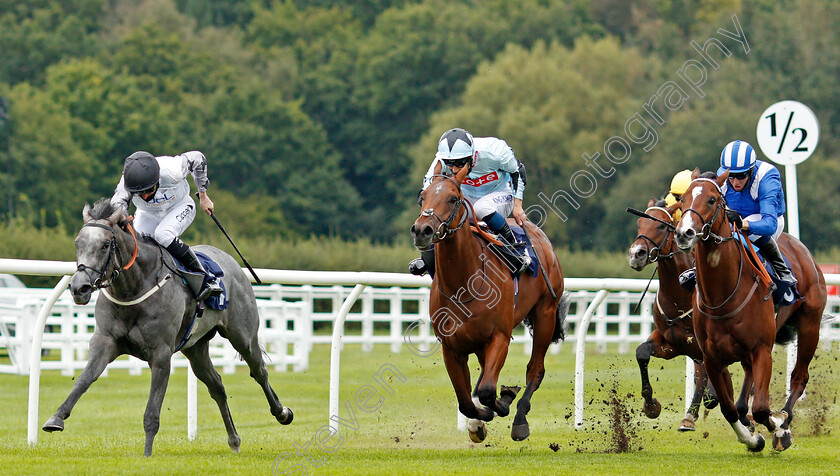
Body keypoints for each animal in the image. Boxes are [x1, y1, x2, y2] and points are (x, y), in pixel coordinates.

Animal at [42, 198, 294, 458]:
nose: (79, 288)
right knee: (216, 385)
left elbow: (152, 410)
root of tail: (231, 262)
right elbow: (84, 379)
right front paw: (56, 418)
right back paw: (234, 440)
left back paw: (282, 412)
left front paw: (147, 453)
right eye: (77, 243)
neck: (134, 288)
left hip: (242, 335)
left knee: (259, 371)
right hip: (195, 347)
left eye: (104, 245)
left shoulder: (161, 354)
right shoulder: (105, 342)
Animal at [408, 168, 568, 442]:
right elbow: (467, 400)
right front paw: (478, 422)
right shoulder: (452, 348)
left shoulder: (499, 337)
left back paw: (520, 419)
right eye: (423, 196)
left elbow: (486, 391)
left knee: (535, 369)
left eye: (453, 198)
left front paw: (504, 401)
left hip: (545, 313)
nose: (422, 230)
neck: (463, 284)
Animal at [628, 198, 720, 432]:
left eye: (661, 226)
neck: (680, 295)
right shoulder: (672, 344)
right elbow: (641, 352)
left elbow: (705, 378)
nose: (636, 254)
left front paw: (691, 414)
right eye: (639, 223)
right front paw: (651, 405)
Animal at [676, 169, 828, 452]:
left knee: (799, 377)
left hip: (810, 325)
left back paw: (785, 420)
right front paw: (752, 438)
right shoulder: (712, 357)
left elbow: (761, 408)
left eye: (712, 199)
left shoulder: (762, 350)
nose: (684, 233)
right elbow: (728, 408)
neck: (722, 294)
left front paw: (778, 428)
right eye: (682, 201)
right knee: (745, 390)